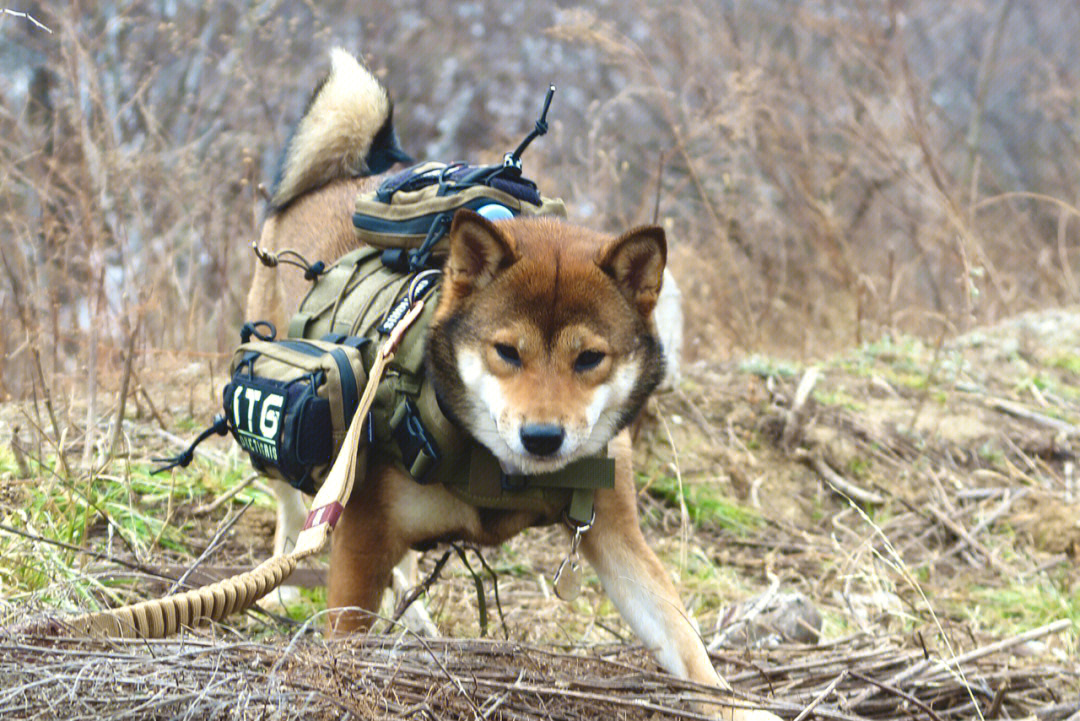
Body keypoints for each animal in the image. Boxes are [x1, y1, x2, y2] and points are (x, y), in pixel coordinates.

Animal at [247, 47, 777, 716]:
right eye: (507, 352)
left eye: (589, 359)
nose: (543, 438)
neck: (503, 472)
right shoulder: (363, 536)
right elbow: (346, 633)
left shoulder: (617, 537)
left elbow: (688, 647)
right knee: (294, 507)